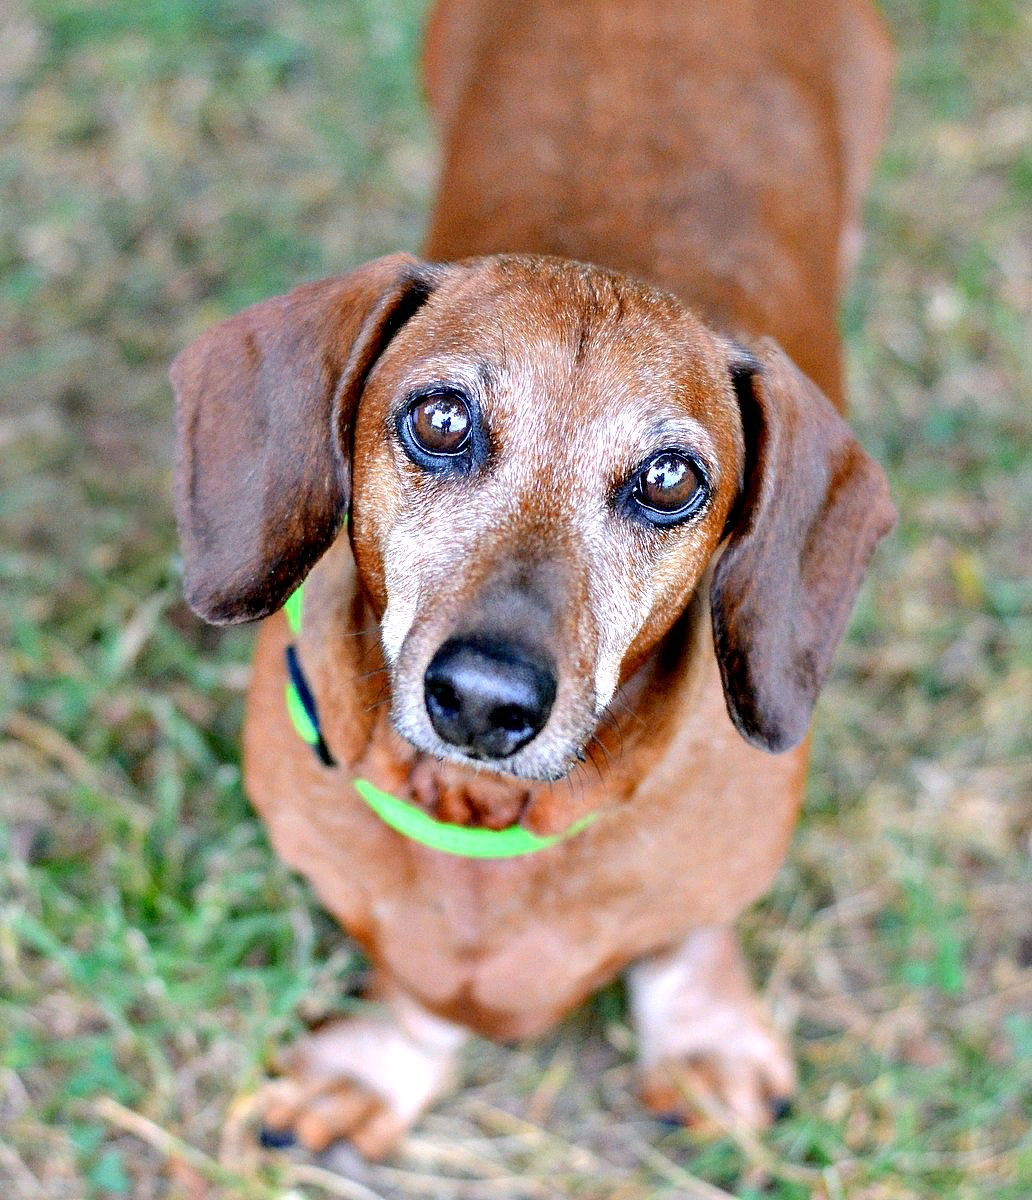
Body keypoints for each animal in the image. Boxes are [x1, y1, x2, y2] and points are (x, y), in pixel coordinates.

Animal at [169, 0, 892, 1161]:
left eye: (670, 480)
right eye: (441, 419)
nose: (483, 700)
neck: (485, 814)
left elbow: (688, 937)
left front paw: (705, 1042)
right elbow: (408, 985)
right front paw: (379, 1065)